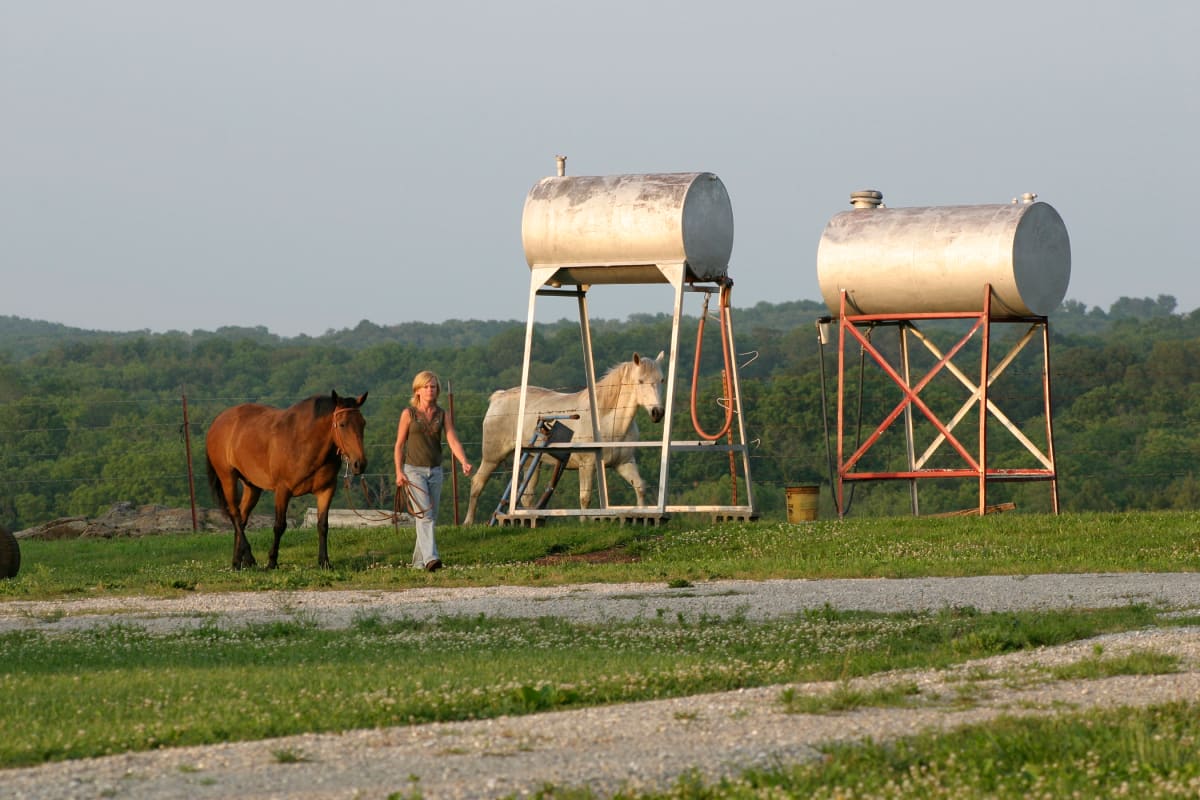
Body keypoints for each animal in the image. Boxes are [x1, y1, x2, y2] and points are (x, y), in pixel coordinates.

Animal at [206, 388, 367, 568]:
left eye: (363, 423)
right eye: (342, 424)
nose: (359, 464)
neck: (304, 442)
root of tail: (217, 422)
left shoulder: (326, 490)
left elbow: (323, 525)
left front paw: (324, 562)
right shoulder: (282, 490)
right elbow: (279, 525)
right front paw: (272, 562)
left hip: (251, 485)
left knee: (241, 518)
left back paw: (237, 562)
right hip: (228, 478)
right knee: (235, 514)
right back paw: (249, 558)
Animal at [463, 352, 667, 525]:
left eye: (662, 380)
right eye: (640, 381)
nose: (657, 413)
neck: (606, 420)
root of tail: (498, 397)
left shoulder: (624, 463)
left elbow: (640, 486)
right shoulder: (587, 465)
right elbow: (585, 497)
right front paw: (584, 524)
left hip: (531, 461)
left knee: (527, 495)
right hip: (493, 457)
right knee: (477, 483)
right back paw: (468, 523)